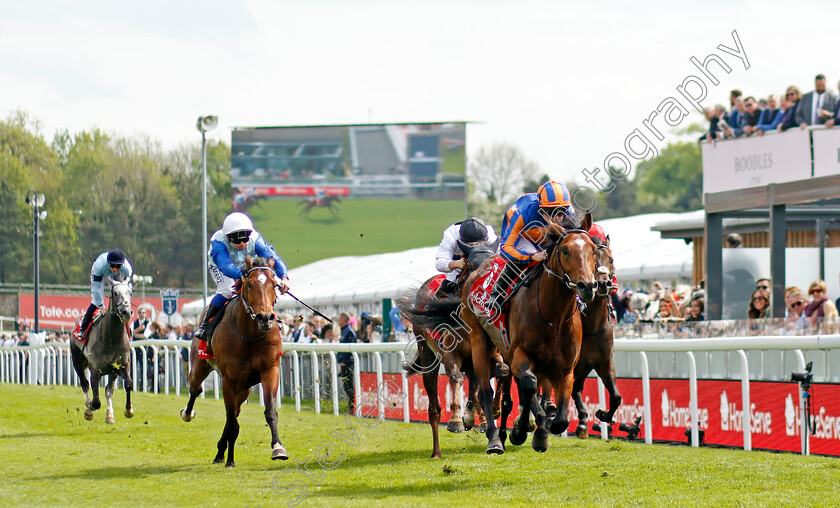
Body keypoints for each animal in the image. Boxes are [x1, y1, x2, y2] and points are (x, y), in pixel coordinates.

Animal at [179, 256, 288, 466]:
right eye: (250, 284)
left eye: (274, 284)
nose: (265, 318)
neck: (250, 336)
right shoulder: (229, 380)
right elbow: (232, 423)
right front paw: (227, 456)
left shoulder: (270, 370)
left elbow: (269, 411)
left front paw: (278, 448)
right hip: (200, 367)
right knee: (196, 389)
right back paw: (188, 414)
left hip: (244, 388)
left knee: (234, 415)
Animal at [462, 212, 592, 454]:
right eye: (565, 250)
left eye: (593, 249)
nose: (587, 286)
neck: (553, 318)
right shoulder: (519, 356)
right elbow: (529, 385)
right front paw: (526, 432)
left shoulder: (565, 367)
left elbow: (559, 417)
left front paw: (534, 428)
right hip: (479, 340)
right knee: (485, 391)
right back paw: (495, 439)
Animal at [572, 234, 624, 436]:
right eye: (593, 261)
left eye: (611, 259)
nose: (602, 284)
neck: (592, 328)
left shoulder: (602, 362)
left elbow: (616, 396)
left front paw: (603, 415)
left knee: (576, 389)